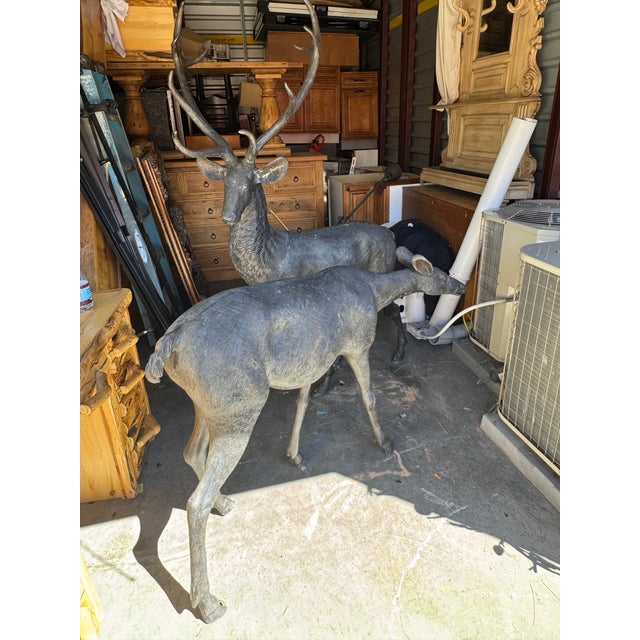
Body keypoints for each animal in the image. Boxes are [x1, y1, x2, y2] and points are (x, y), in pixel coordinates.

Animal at [144, 245, 465, 623]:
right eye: (442, 273)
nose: (461, 286)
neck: (374, 291)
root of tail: (168, 345)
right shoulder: (357, 344)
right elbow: (368, 395)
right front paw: (385, 442)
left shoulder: (312, 359)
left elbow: (303, 401)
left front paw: (294, 453)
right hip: (239, 403)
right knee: (196, 501)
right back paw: (208, 603)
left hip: (208, 404)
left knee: (192, 452)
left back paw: (224, 502)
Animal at [167, 0, 411, 393]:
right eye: (224, 182)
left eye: (251, 183)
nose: (228, 216)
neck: (267, 261)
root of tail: (389, 233)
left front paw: (322, 383)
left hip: (383, 266)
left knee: (397, 306)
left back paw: (401, 353)